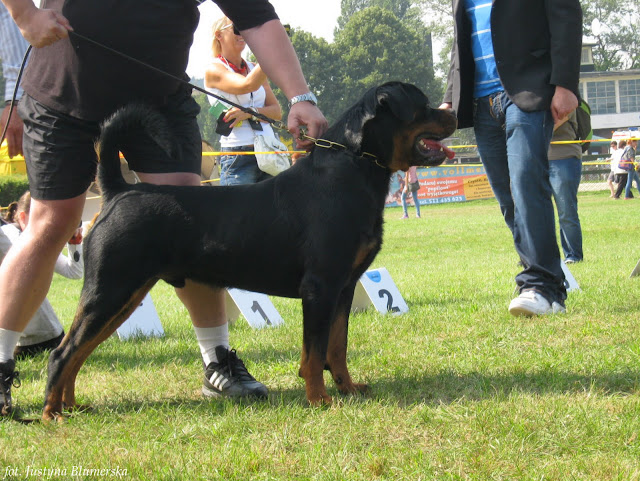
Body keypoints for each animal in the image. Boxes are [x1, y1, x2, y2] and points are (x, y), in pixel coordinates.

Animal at [42, 82, 457, 420]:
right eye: (422, 105)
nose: (452, 110)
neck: (354, 168)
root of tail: (119, 191)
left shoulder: (344, 287)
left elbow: (337, 347)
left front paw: (349, 388)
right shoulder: (320, 287)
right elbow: (314, 353)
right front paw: (320, 400)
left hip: (124, 296)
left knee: (78, 353)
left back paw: (72, 406)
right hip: (110, 290)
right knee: (62, 354)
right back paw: (52, 414)